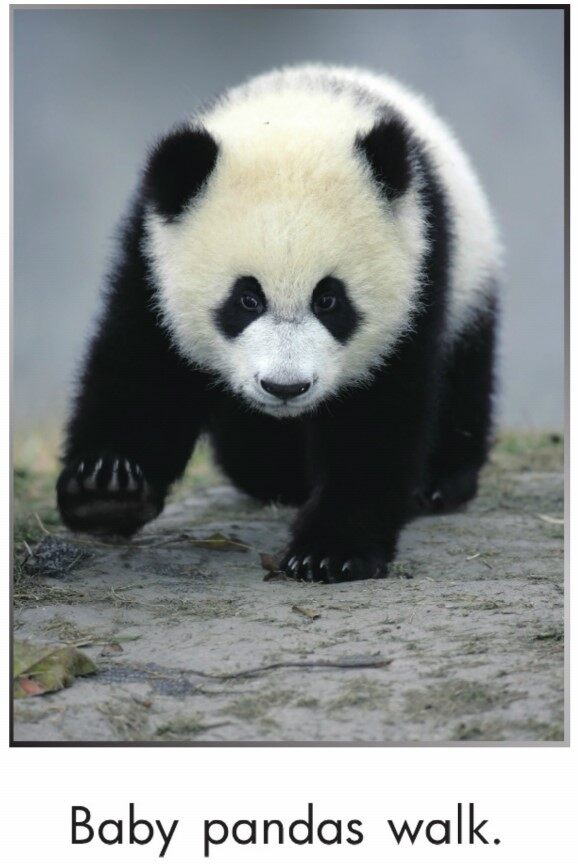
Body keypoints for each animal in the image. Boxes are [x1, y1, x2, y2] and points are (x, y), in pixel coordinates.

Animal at [56, 64, 501, 583]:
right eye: (247, 299)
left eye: (328, 299)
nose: (285, 387)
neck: (294, 112)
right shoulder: (150, 255)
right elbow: (143, 368)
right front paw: (106, 490)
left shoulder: (420, 269)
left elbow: (378, 414)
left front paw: (331, 551)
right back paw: (279, 474)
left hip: (471, 276)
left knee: (466, 371)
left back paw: (440, 482)